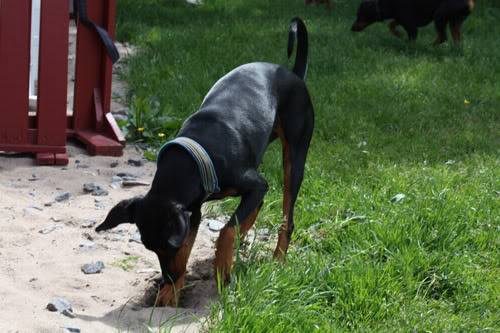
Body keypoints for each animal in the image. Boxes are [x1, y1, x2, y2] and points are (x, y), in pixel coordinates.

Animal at [96, 16, 314, 304]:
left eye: (168, 245)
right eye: (148, 246)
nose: (166, 278)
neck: (198, 156)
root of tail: (293, 74)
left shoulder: (256, 184)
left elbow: (226, 230)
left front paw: (221, 268)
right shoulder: (193, 211)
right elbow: (199, 241)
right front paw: (171, 291)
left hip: (295, 155)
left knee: (287, 216)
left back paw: (278, 260)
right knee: (255, 210)